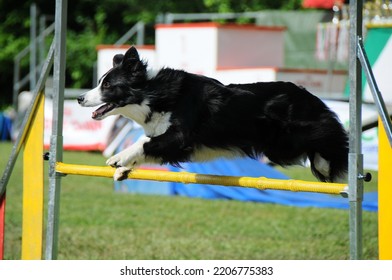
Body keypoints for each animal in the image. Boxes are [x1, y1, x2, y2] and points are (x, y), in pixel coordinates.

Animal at [78, 46, 348, 182]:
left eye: (108, 85)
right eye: (100, 82)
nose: (80, 98)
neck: (153, 94)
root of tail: (309, 96)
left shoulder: (181, 137)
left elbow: (145, 142)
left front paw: (119, 158)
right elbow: (148, 143)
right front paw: (124, 168)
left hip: (291, 141)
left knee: (333, 143)